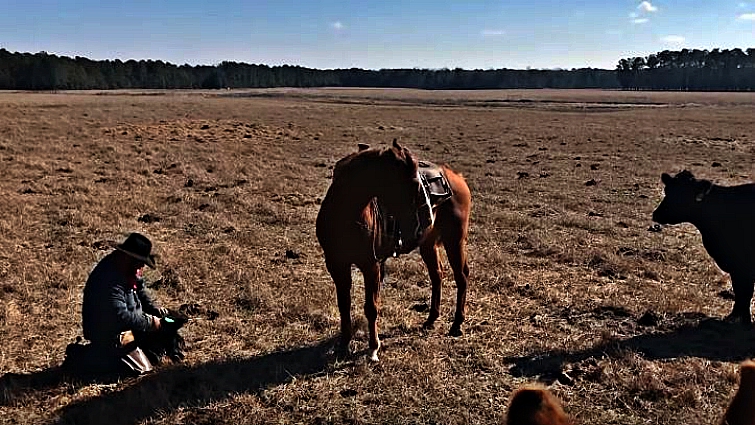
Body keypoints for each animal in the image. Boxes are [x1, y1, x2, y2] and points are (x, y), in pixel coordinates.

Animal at [316, 139, 471, 361]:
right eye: (414, 184)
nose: (424, 218)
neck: (346, 214)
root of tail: (456, 177)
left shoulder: (371, 266)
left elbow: (371, 307)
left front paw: (373, 348)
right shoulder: (337, 265)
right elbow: (343, 304)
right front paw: (344, 344)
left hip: (454, 240)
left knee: (461, 276)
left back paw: (457, 323)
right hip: (428, 244)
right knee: (437, 275)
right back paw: (431, 319)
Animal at [652, 170, 755, 323]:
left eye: (683, 194)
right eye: (667, 190)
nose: (656, 214)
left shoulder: (743, 264)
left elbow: (745, 292)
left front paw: (744, 320)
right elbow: (740, 291)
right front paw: (734, 316)